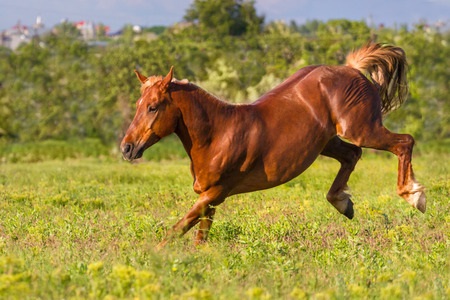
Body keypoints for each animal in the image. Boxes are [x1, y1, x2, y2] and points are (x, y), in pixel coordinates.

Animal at [119, 42, 426, 248]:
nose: (126, 148)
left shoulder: (216, 192)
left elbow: (178, 229)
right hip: (326, 141)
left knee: (403, 142)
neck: (217, 133)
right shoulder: (209, 197)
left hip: (361, 129)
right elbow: (199, 237)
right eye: (138, 104)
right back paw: (343, 203)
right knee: (352, 154)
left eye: (153, 107)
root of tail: (352, 69)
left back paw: (414, 195)